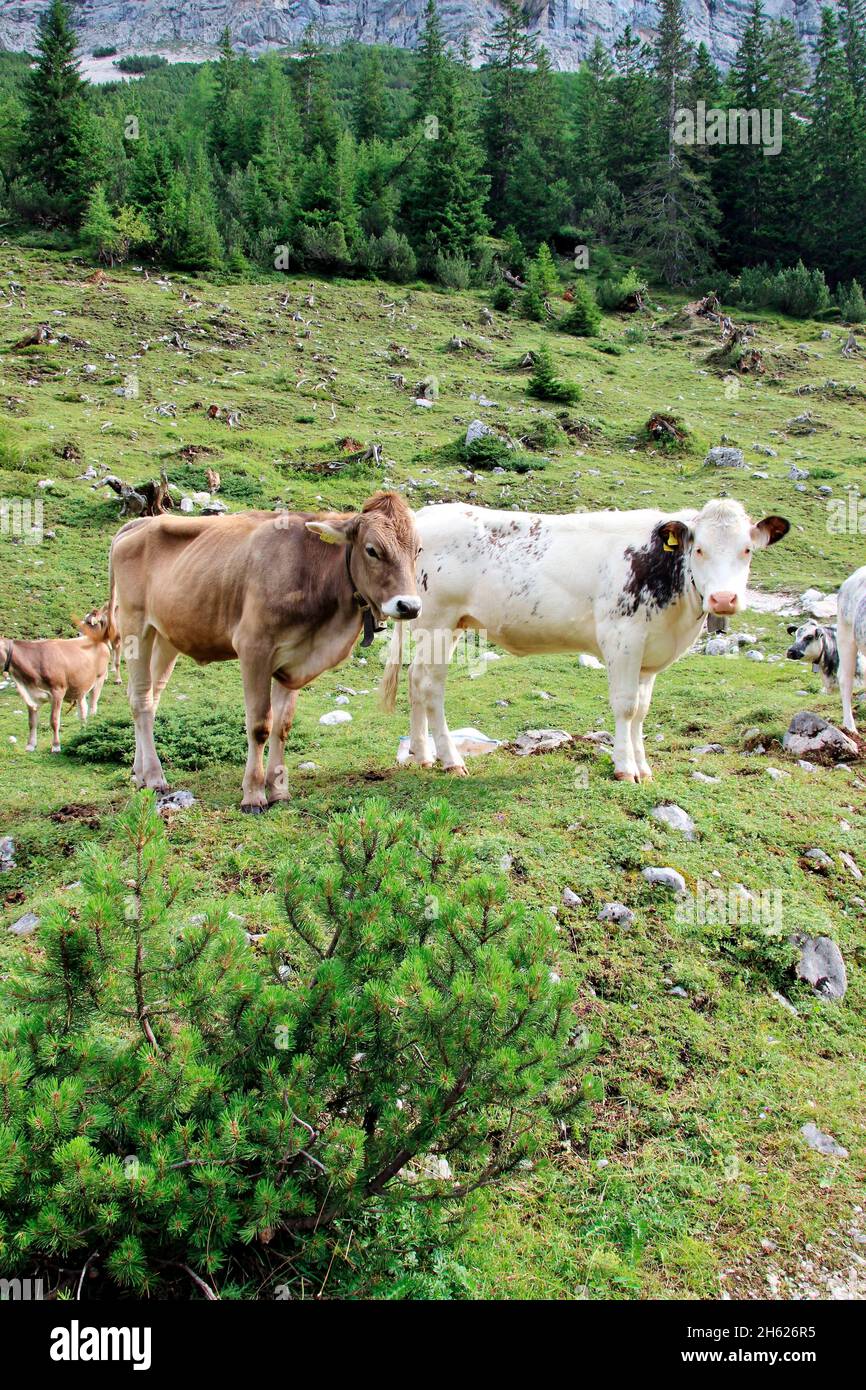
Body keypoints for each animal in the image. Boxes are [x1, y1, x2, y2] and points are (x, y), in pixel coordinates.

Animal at [0, 610, 112, 752]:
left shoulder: (58, 691)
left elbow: (54, 720)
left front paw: (56, 746)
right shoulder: (30, 695)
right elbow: (32, 722)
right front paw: (30, 745)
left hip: (99, 680)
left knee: (92, 707)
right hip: (80, 687)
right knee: (83, 710)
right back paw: (83, 732)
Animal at [109, 491, 421, 812]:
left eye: (417, 550)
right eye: (372, 550)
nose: (409, 606)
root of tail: (141, 522)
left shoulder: (294, 660)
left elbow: (281, 726)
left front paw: (279, 790)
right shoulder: (254, 648)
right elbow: (259, 724)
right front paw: (254, 794)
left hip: (166, 637)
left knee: (149, 697)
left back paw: (139, 772)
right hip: (135, 626)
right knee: (141, 700)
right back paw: (154, 777)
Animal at [381, 499, 789, 783]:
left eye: (747, 550)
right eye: (699, 549)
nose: (723, 599)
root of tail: (424, 517)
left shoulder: (648, 654)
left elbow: (642, 709)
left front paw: (644, 767)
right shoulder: (623, 638)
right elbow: (626, 707)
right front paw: (626, 768)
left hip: (448, 627)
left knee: (416, 681)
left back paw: (423, 755)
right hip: (437, 622)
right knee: (431, 687)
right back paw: (451, 760)